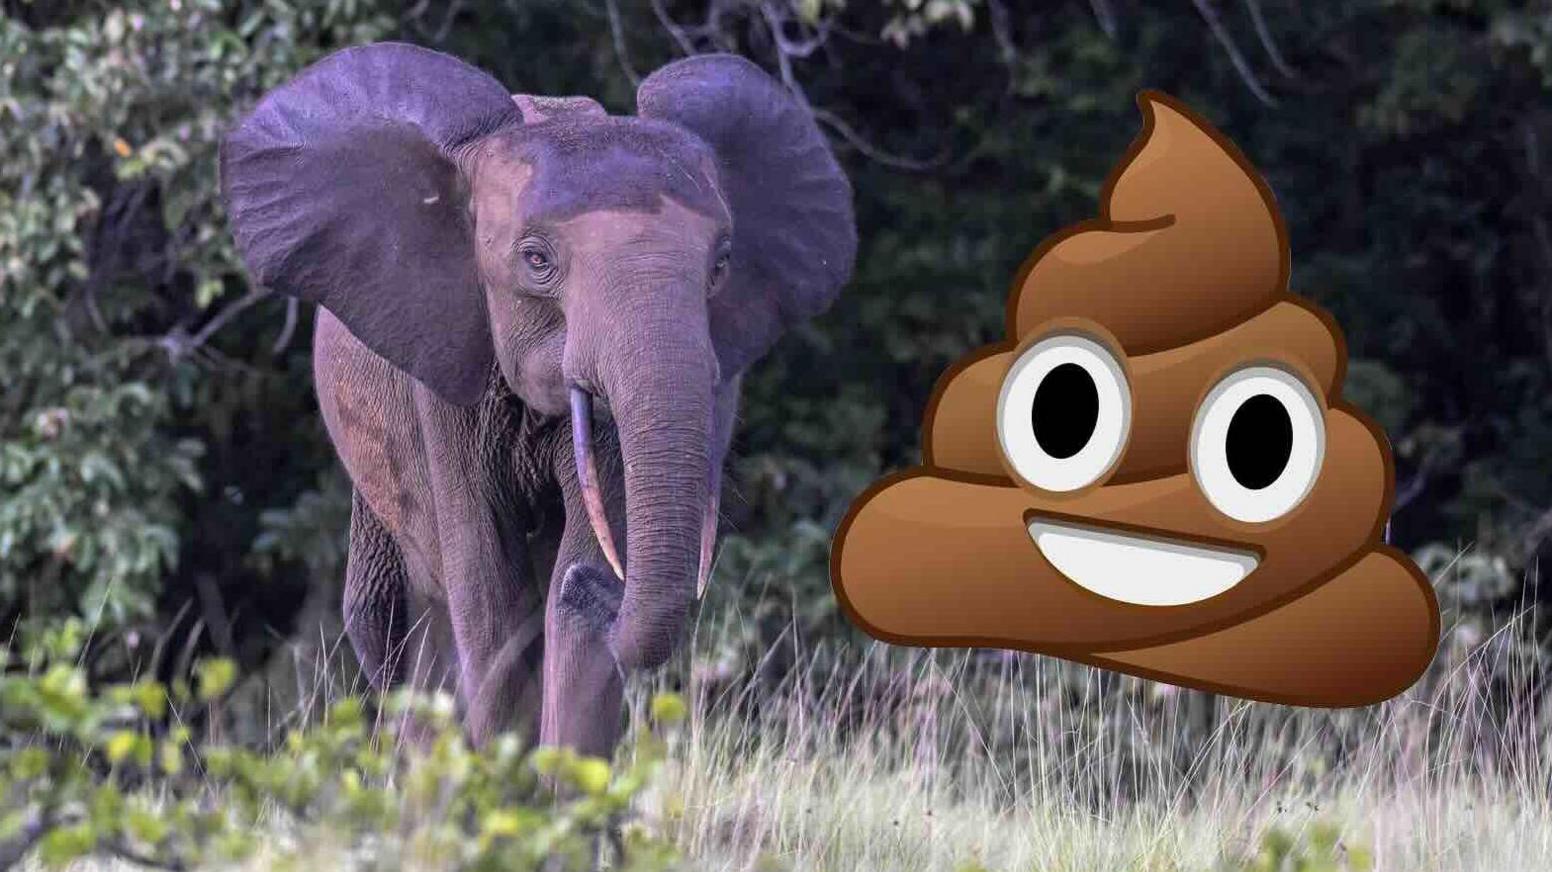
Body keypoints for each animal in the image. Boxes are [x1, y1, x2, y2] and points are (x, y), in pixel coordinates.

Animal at [220, 42, 855, 755]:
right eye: (535, 259)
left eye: (720, 265)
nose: (599, 590)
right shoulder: (442, 371)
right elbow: (491, 597)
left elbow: (571, 610)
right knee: (395, 625)